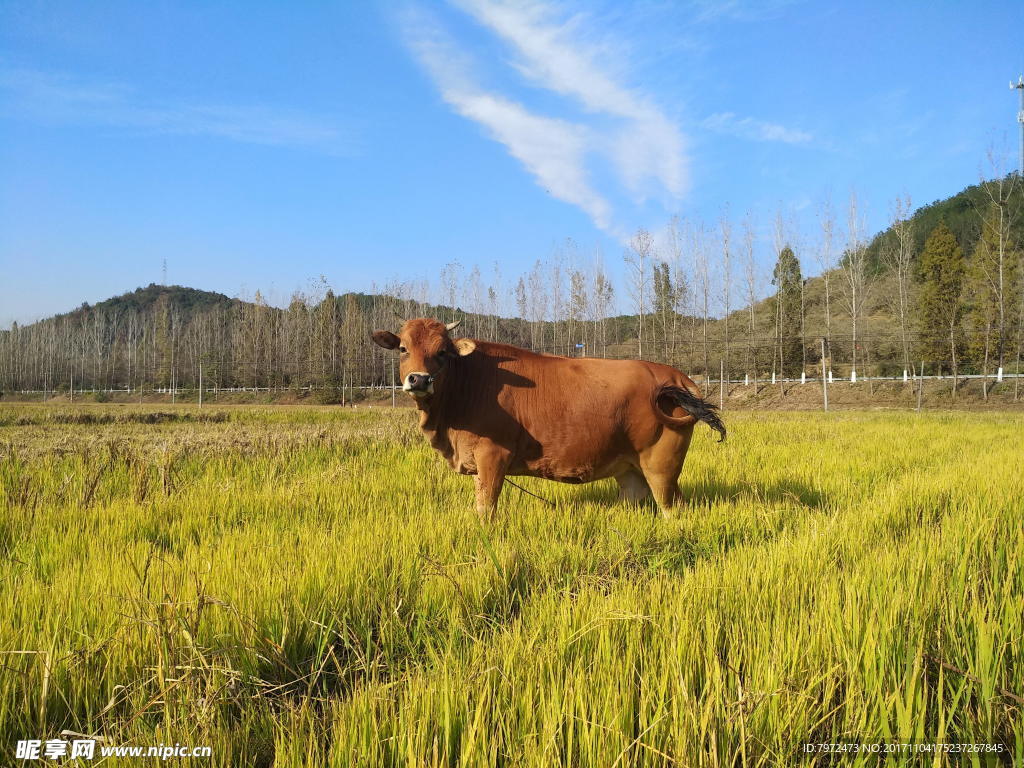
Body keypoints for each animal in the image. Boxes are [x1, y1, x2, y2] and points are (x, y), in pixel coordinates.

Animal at [372, 315, 724, 520]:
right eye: (403, 348)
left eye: (442, 351)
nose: (419, 380)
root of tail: (674, 375)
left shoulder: (493, 456)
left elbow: (486, 508)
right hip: (630, 466)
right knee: (634, 496)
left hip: (662, 464)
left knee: (673, 507)